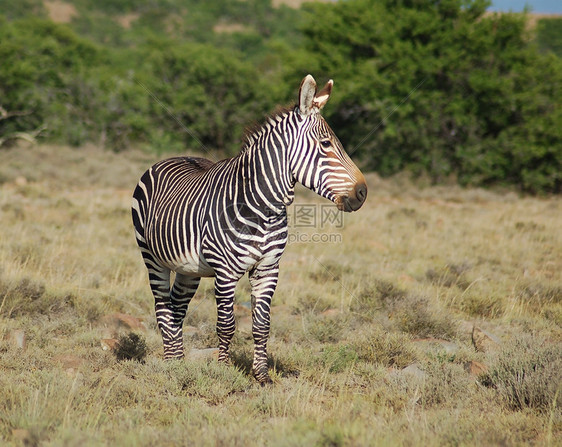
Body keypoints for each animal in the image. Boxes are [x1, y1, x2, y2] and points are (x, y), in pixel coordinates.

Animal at [132, 75, 368, 384]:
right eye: (326, 144)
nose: (363, 192)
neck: (263, 208)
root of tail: (172, 157)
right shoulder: (225, 272)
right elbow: (226, 325)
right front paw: (222, 370)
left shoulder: (268, 269)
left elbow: (261, 325)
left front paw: (262, 376)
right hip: (152, 257)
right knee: (162, 308)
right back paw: (171, 365)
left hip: (188, 268)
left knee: (177, 308)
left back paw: (179, 362)